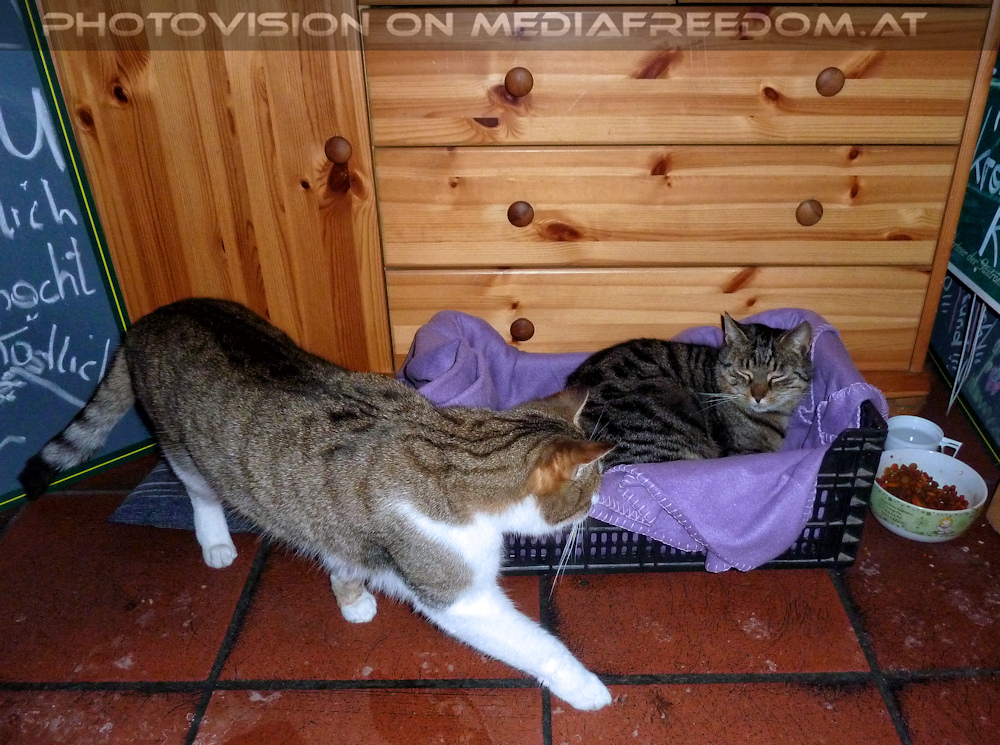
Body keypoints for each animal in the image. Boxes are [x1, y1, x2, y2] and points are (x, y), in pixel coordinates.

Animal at [19, 297, 614, 711]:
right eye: (590, 489)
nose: (597, 507)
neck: (456, 447)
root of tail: (151, 317)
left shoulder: (342, 522)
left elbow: (342, 553)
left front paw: (351, 599)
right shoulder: (456, 593)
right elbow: (537, 644)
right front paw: (586, 687)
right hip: (186, 451)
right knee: (198, 492)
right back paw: (215, 543)